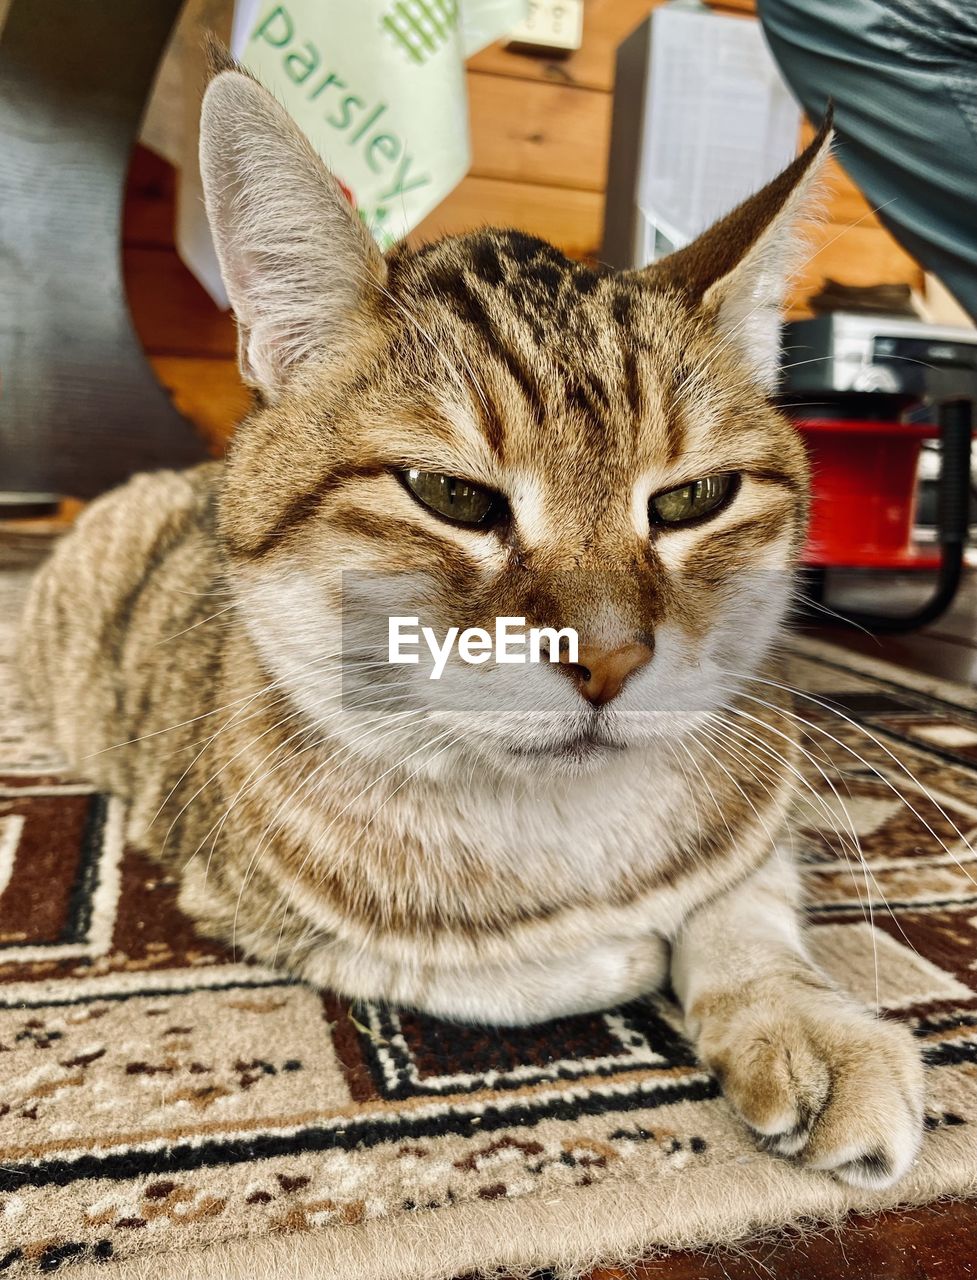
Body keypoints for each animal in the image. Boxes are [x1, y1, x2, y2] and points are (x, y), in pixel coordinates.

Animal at [22, 64, 927, 1187]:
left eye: (690, 499)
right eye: (451, 495)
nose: (610, 658)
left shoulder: (758, 815)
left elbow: (747, 905)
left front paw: (805, 1023)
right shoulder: (241, 898)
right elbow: (490, 965)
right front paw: (624, 952)